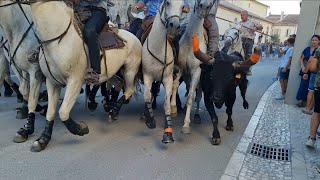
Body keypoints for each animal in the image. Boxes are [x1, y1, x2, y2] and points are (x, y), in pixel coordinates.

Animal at [26, 1, 142, 152]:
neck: (58, 37)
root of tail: (133, 35)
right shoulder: (52, 82)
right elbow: (51, 112)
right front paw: (43, 139)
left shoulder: (75, 81)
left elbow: (63, 112)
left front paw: (80, 128)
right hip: (113, 73)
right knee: (119, 85)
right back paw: (112, 109)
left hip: (130, 70)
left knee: (129, 90)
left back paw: (113, 111)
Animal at [142, 0, 185, 143]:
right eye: (167, 2)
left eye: (182, 6)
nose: (174, 26)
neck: (158, 48)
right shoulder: (147, 76)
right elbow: (147, 96)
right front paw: (150, 120)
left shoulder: (167, 79)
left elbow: (166, 104)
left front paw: (168, 133)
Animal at [171, 0, 214, 133]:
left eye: (210, 4)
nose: (203, 7)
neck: (191, 42)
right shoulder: (180, 68)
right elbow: (174, 86)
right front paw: (173, 109)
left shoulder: (196, 71)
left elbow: (191, 97)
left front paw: (186, 125)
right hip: (187, 76)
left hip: (200, 79)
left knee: (198, 95)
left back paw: (196, 116)